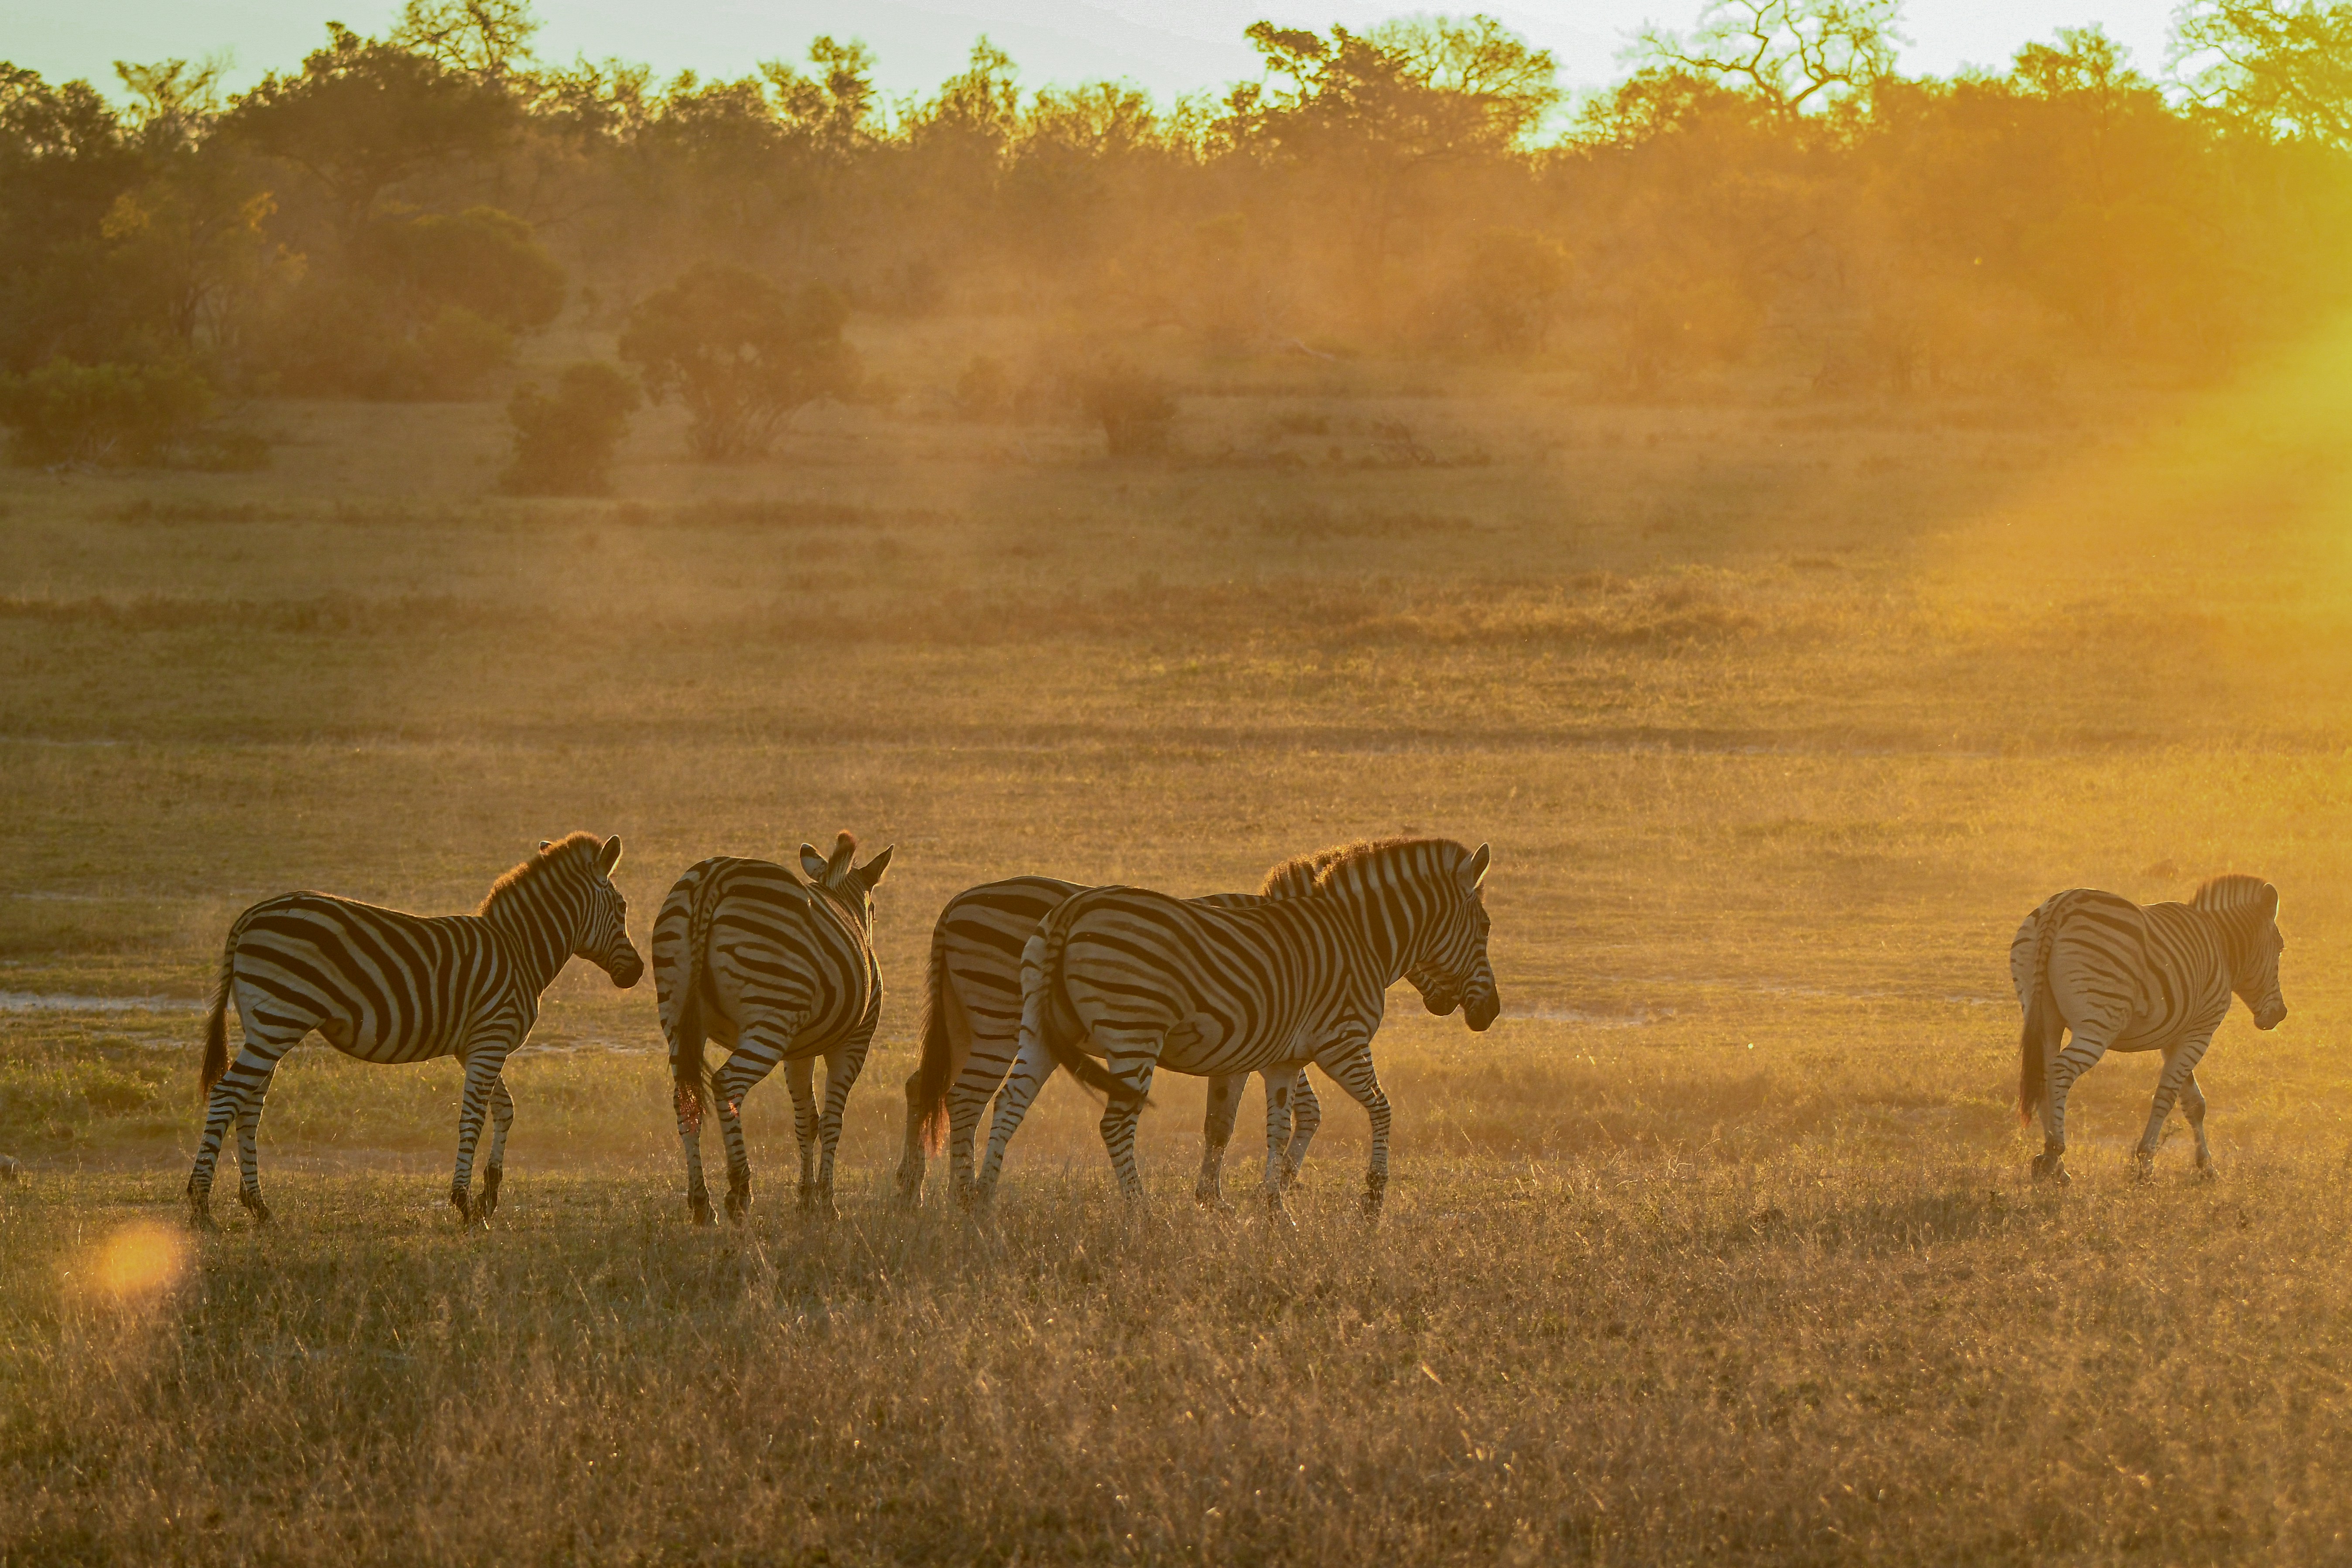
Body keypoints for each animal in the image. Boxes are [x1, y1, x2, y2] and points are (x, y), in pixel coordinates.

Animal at [185, 832, 643, 1228]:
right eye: (622, 907)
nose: (638, 973)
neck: (520, 950)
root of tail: (250, 915)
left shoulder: (474, 1047)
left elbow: (506, 1110)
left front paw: (489, 1194)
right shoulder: (491, 1039)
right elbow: (473, 1117)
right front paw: (465, 1204)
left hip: (266, 1025)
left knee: (249, 1104)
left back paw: (259, 1207)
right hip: (280, 1019)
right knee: (228, 1095)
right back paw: (201, 1206)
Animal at [657, 832, 892, 1223]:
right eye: (873, 911)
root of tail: (713, 879)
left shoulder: (798, 1052)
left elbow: (807, 1121)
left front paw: (806, 1201)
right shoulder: (853, 1044)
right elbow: (832, 1121)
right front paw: (827, 1203)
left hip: (676, 1013)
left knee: (684, 1099)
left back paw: (702, 1203)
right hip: (772, 1014)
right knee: (726, 1084)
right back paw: (739, 1193)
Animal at [977, 836, 1499, 1216]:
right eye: (1487, 928)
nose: (1490, 1013)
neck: (1358, 938)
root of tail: (1072, 910)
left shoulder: (1281, 1060)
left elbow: (1271, 1128)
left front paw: (1271, 1209)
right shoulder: (1343, 1042)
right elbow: (1382, 1109)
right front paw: (1372, 1199)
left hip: (1040, 1030)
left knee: (1008, 1105)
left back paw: (980, 1204)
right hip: (1134, 1031)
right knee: (1115, 1124)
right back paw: (1142, 1212)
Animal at [2012, 873, 2286, 1184]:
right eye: (2280, 948)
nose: (2281, 1014)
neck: (2222, 946)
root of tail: (2060, 906)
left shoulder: (2176, 1036)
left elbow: (2194, 1103)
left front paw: (2206, 1167)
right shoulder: (2200, 1032)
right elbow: (2167, 1096)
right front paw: (2146, 1164)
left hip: (2042, 1014)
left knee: (2043, 1074)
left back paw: (2056, 1166)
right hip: (2099, 1022)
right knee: (2061, 1069)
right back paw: (2053, 1152)